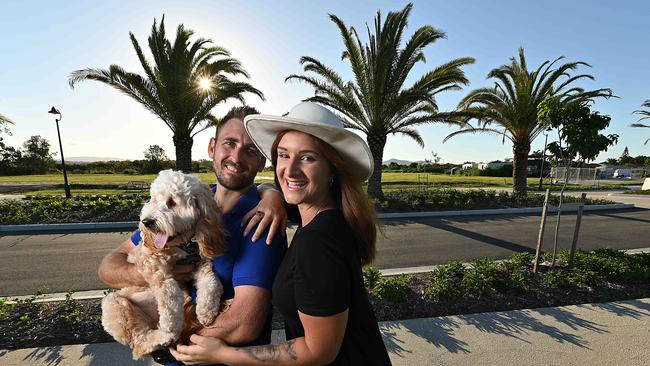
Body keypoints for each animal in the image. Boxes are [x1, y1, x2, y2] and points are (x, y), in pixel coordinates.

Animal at [98, 170, 225, 358]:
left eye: (172, 202)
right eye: (153, 199)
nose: (146, 222)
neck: (183, 245)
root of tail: (151, 320)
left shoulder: (202, 265)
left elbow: (212, 283)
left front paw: (206, 311)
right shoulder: (151, 264)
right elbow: (170, 294)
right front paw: (170, 324)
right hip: (113, 303)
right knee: (139, 342)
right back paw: (163, 336)